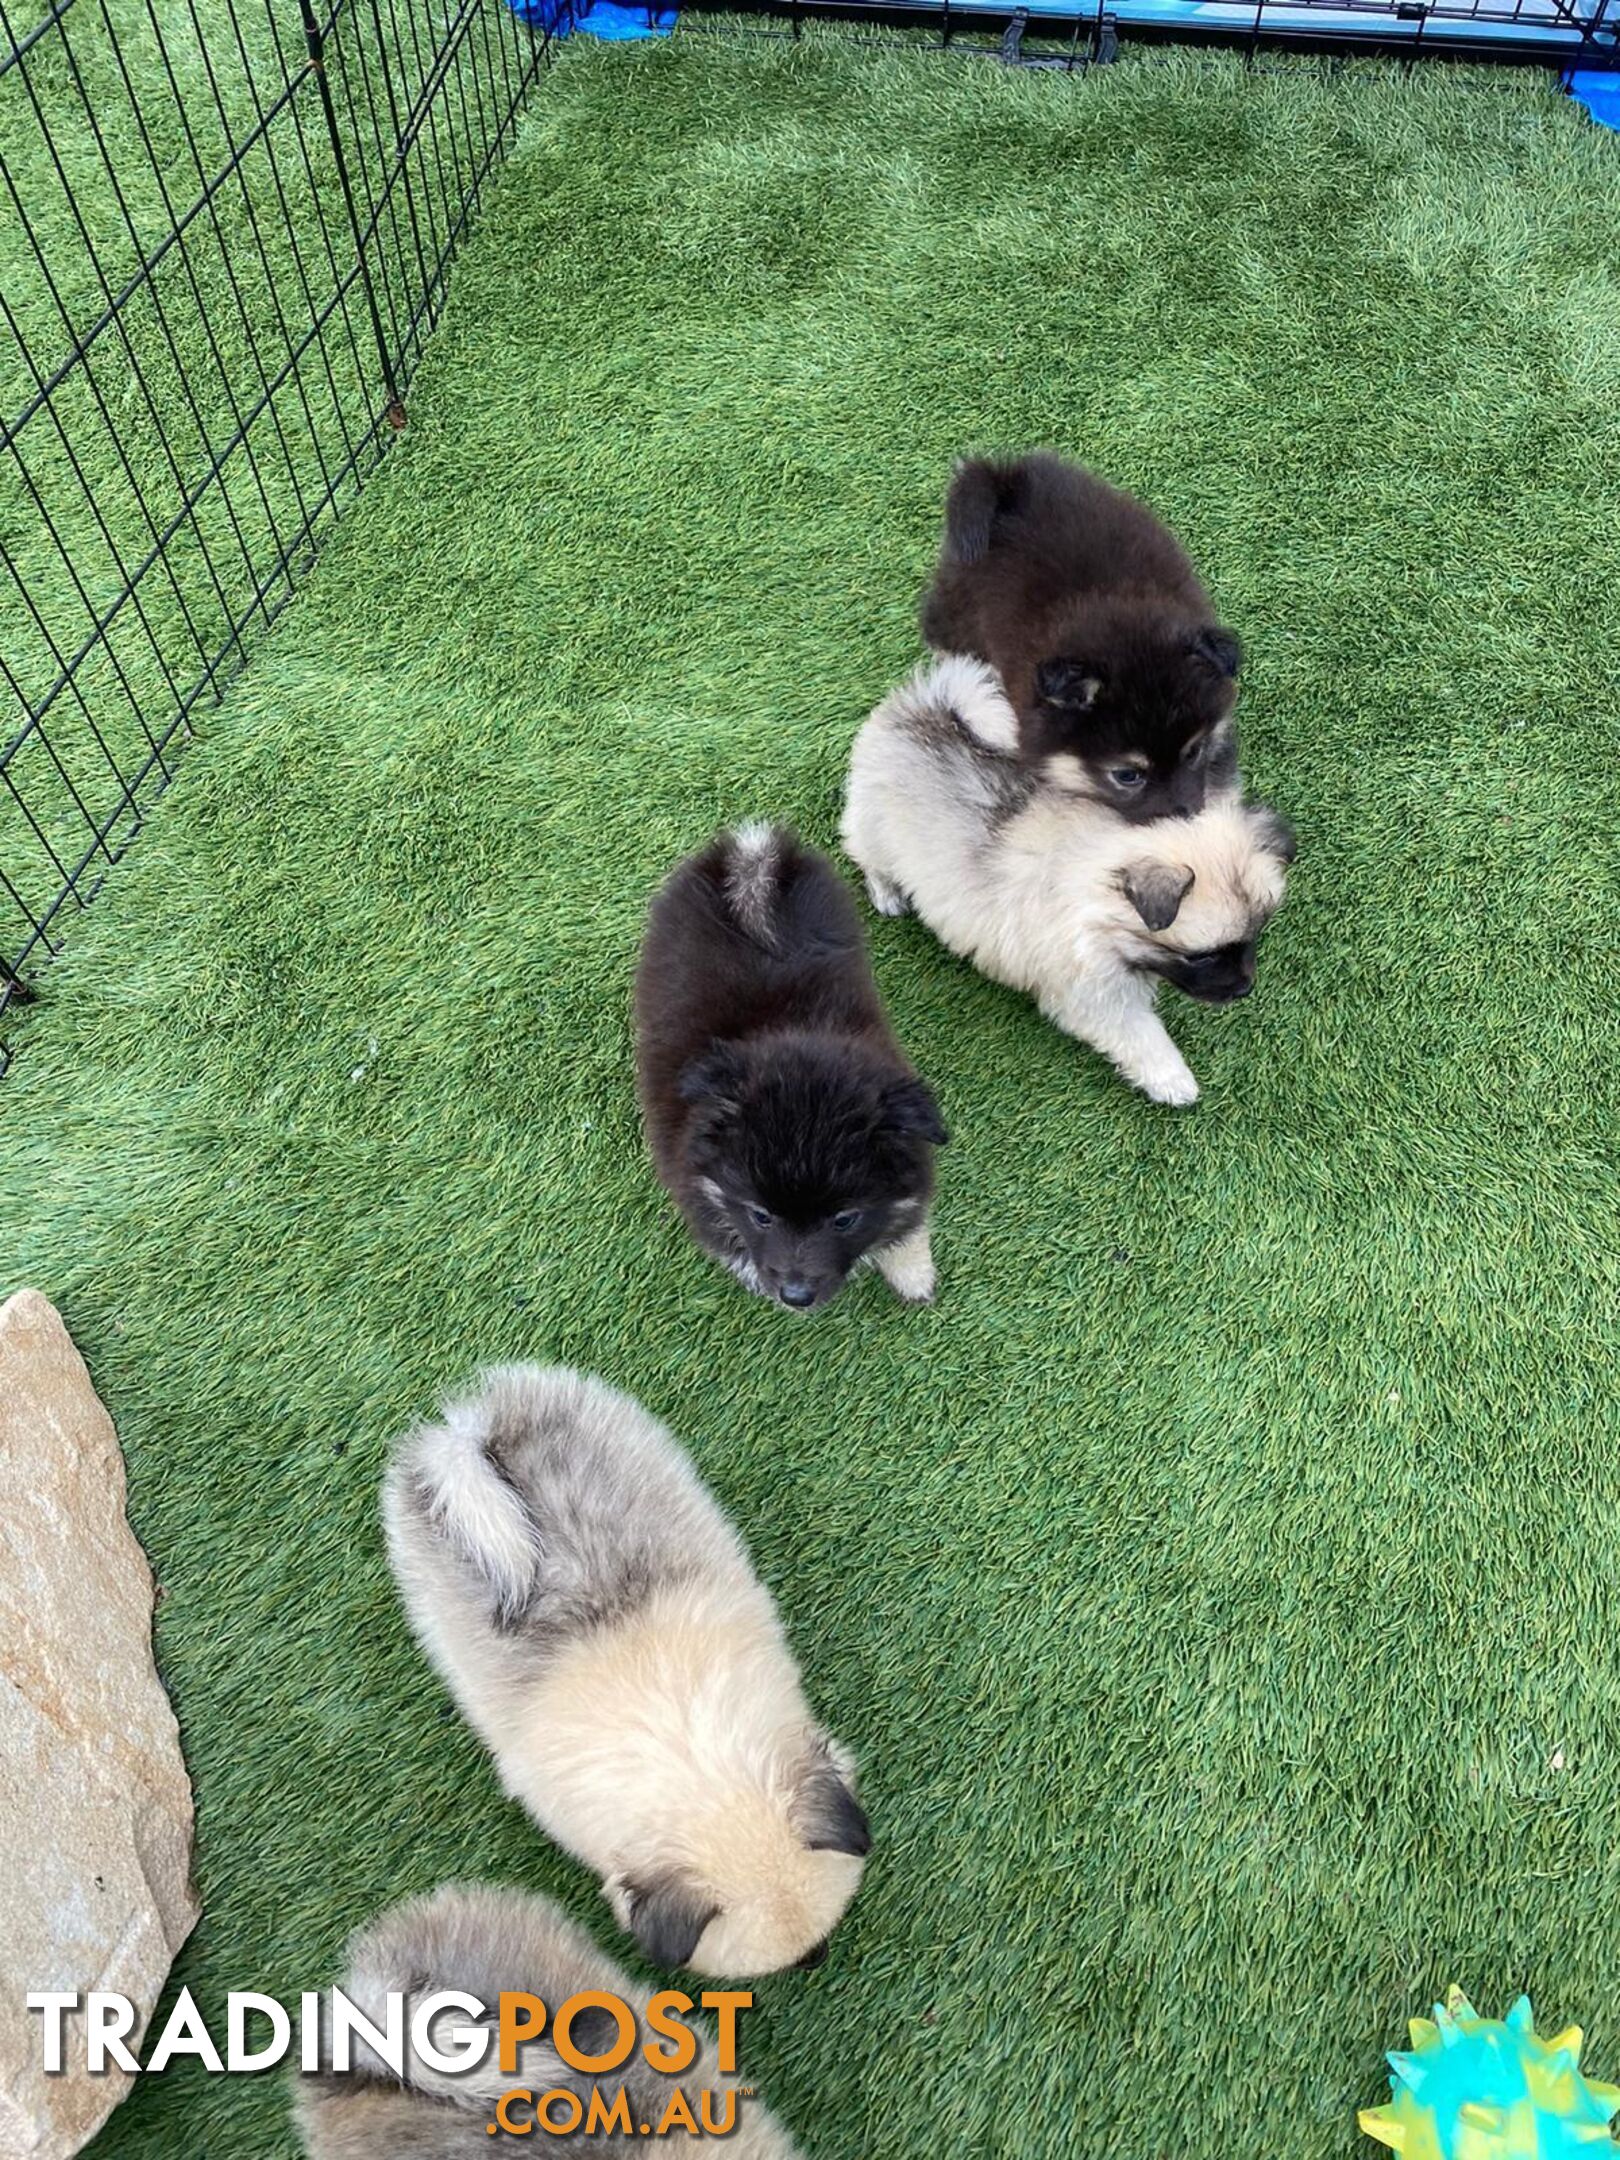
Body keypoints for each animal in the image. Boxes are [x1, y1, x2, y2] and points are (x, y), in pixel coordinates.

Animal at [639, 816, 950, 1304]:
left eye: (844, 1219)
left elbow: (907, 1224)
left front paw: (914, 1273)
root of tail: (748, 857)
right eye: (761, 1215)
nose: (797, 1295)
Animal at [851, 648, 1296, 1105]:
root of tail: (930, 701)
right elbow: (1143, 1036)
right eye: (1201, 956)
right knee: (866, 853)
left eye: (1254, 935)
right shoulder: (1096, 997)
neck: (1096, 901)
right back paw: (886, 893)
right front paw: (1173, 1080)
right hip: (876, 825)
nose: (1244, 988)